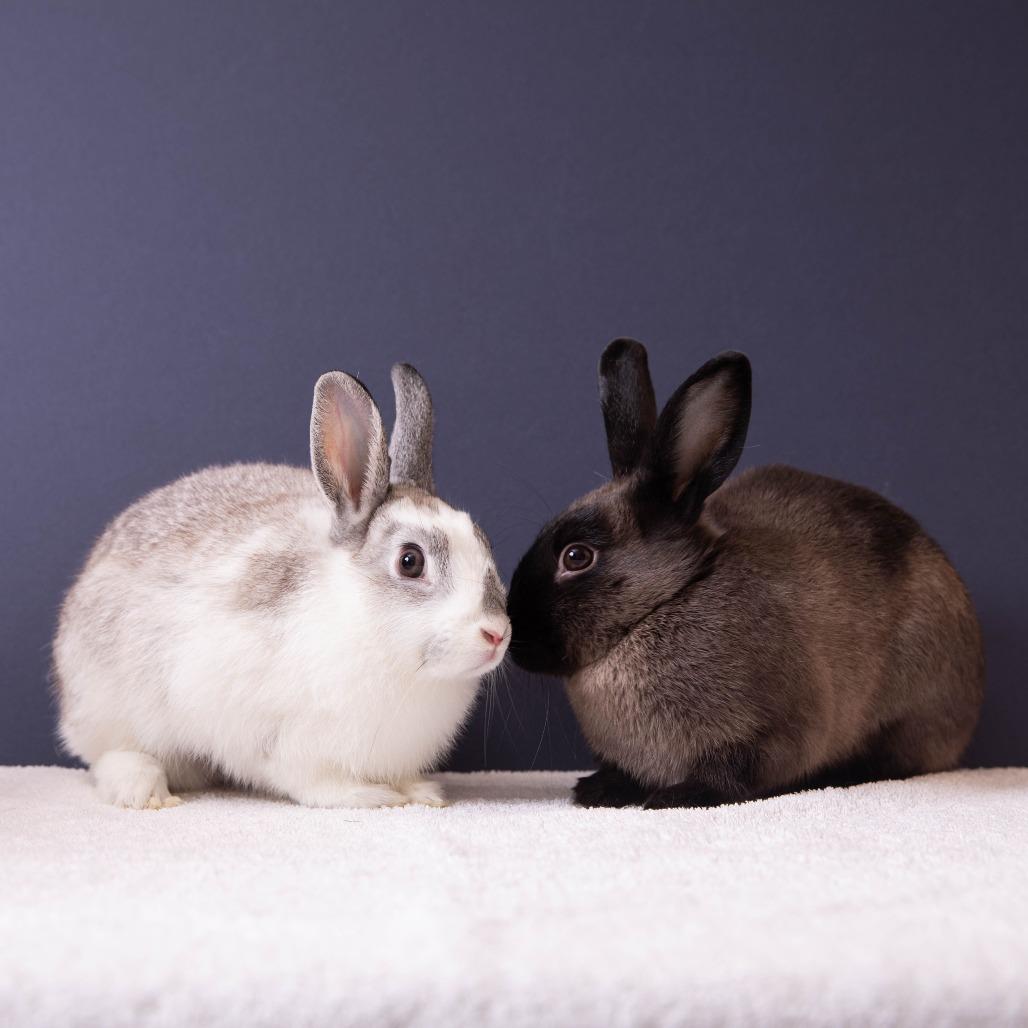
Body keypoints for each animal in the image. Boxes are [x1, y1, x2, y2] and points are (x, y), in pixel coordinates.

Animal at [54, 363, 510, 809]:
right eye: (410, 561)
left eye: (483, 540)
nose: (497, 634)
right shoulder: (278, 739)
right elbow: (309, 780)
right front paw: (369, 796)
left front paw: (420, 793)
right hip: (108, 705)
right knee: (111, 754)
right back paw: (145, 791)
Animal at [507, 339, 984, 809]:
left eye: (576, 557)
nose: (515, 638)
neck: (666, 599)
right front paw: (599, 790)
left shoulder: (766, 737)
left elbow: (731, 777)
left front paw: (675, 796)